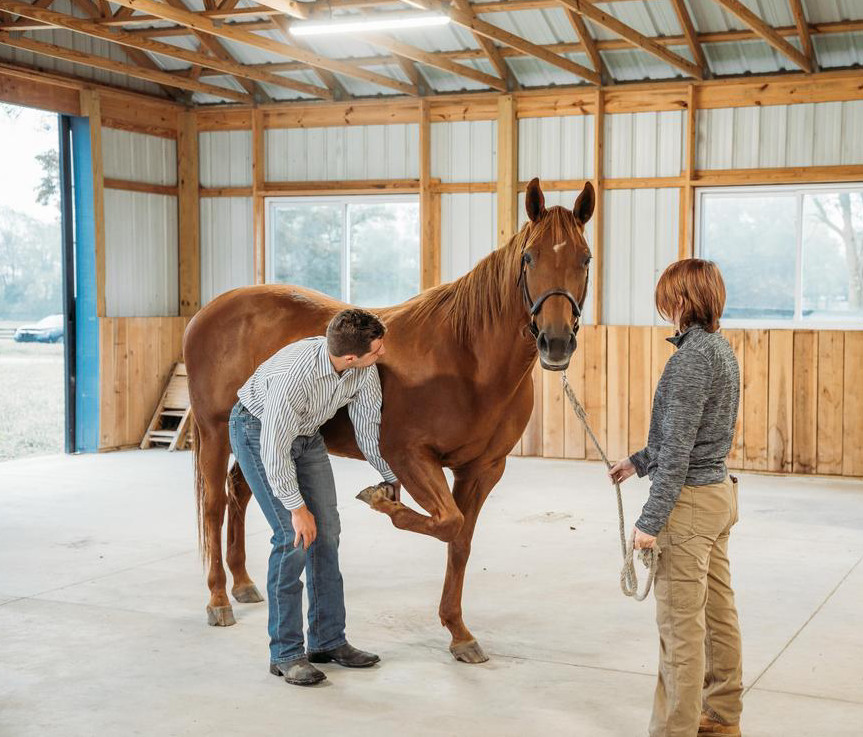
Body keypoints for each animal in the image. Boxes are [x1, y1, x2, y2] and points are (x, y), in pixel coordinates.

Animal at [184, 178, 595, 663]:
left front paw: (459, 632)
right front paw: (383, 502)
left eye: (585, 258)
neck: (467, 358)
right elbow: (447, 521)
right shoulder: (409, 456)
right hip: (214, 431)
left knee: (240, 493)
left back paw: (244, 583)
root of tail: (206, 313)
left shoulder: (483, 470)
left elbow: (460, 539)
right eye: (530, 257)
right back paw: (218, 599)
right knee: (214, 504)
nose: (556, 342)